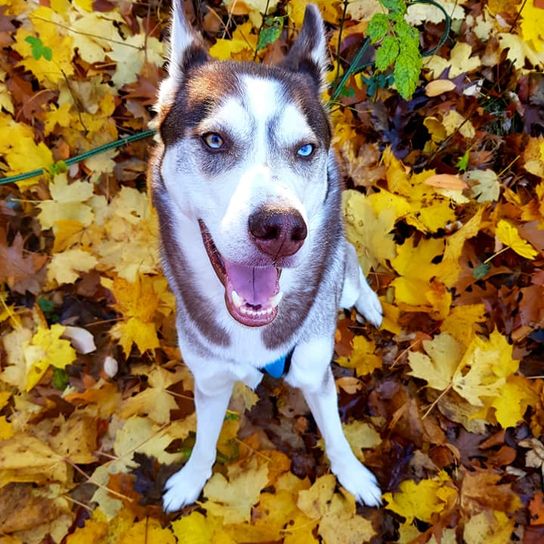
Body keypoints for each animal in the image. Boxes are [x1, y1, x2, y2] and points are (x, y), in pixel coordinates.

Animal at [148, 0, 382, 512]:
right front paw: (192, 478)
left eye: (306, 149)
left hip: (339, 276)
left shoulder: (315, 372)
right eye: (215, 140)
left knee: (350, 266)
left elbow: (336, 435)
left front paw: (353, 474)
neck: (253, 336)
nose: (282, 230)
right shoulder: (210, 378)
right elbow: (204, 441)